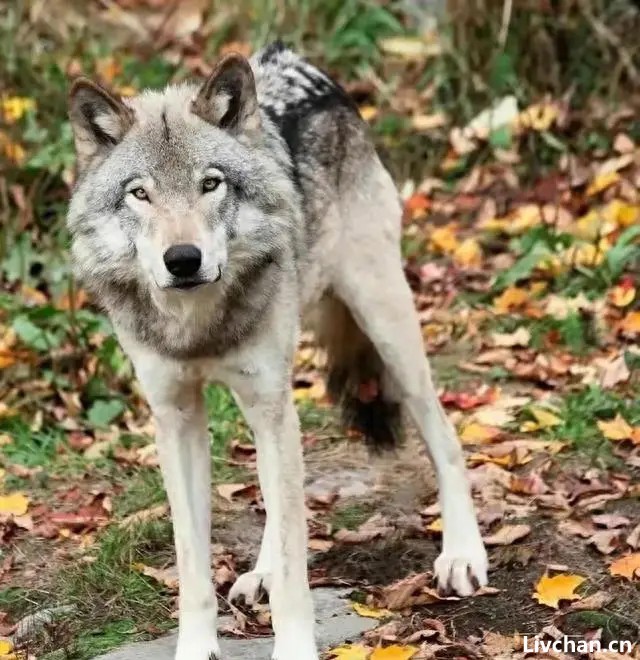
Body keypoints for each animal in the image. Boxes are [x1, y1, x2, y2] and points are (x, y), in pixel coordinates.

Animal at [66, 41, 484, 660]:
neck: (199, 325)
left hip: (385, 326)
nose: (182, 260)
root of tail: (297, 62)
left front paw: (294, 644)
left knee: (444, 436)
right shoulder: (177, 418)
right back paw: (259, 571)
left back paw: (462, 555)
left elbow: (294, 565)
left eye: (210, 184)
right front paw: (198, 645)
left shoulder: (267, 401)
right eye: (139, 193)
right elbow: (194, 563)